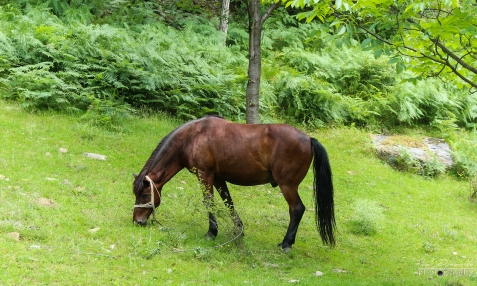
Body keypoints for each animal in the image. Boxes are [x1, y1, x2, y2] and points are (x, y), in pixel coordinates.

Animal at [132, 114, 334, 250]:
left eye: (144, 195)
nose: (137, 221)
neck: (192, 137)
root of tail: (308, 139)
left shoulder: (205, 176)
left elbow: (210, 203)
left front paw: (211, 232)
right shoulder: (218, 178)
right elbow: (228, 202)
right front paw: (239, 230)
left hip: (288, 186)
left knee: (297, 209)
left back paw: (286, 243)